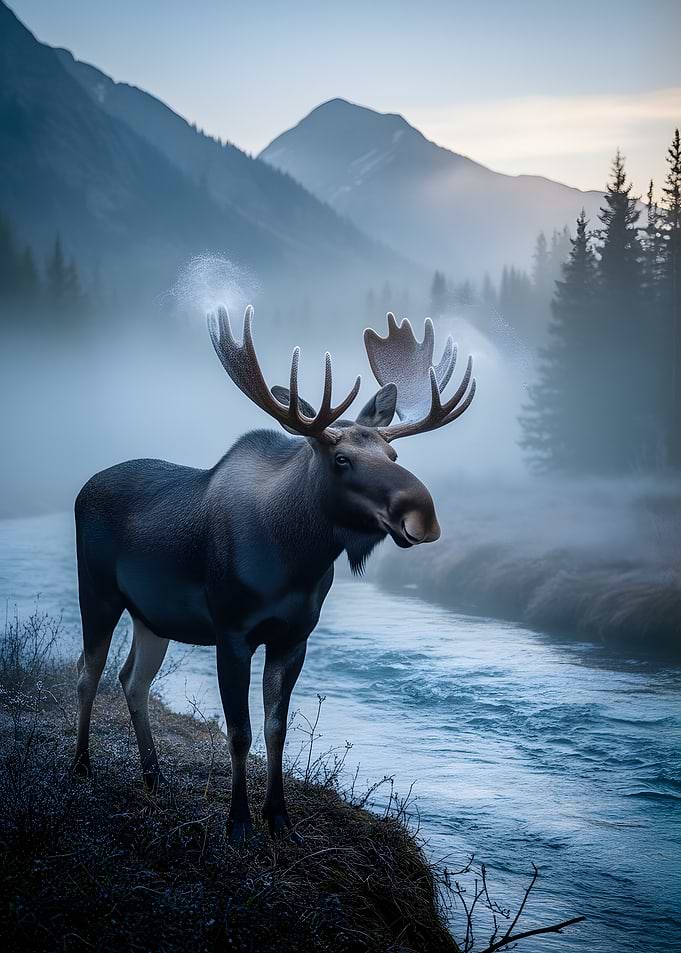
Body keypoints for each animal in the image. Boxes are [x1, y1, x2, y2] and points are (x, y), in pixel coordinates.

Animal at [71, 308, 475, 844]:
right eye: (341, 459)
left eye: (393, 457)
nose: (423, 516)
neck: (295, 560)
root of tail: (83, 487)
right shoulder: (232, 633)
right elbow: (239, 731)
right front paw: (239, 821)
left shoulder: (294, 637)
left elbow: (276, 728)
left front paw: (279, 817)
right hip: (97, 593)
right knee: (88, 672)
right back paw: (80, 766)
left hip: (151, 617)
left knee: (132, 679)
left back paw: (154, 775)